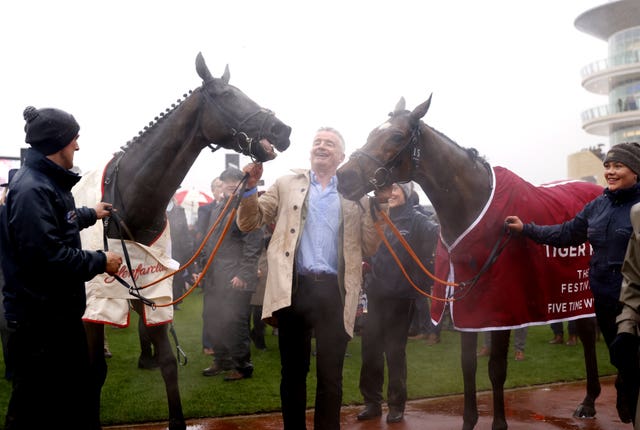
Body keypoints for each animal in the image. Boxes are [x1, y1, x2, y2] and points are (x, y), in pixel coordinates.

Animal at [72, 53, 290, 430]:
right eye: (227, 95)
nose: (282, 130)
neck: (126, 207)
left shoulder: (154, 290)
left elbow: (169, 363)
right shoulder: (97, 301)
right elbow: (95, 370)